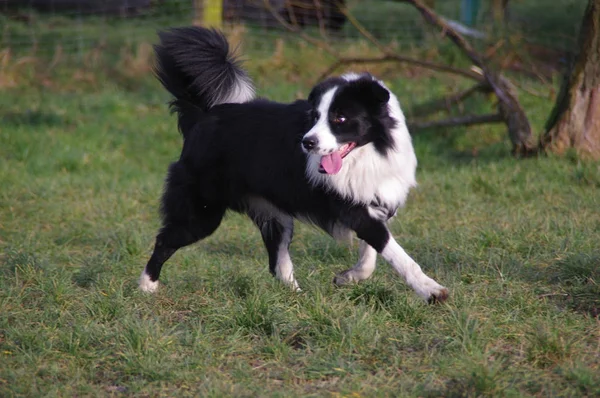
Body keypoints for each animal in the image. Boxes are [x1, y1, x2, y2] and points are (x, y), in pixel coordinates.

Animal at [138, 27, 448, 302]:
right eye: (315, 116)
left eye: (340, 118)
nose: (307, 143)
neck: (370, 151)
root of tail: (202, 117)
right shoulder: (351, 207)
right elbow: (394, 251)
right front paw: (431, 291)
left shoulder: (373, 199)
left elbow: (371, 253)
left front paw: (347, 277)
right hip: (202, 211)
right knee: (165, 240)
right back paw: (146, 287)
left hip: (274, 214)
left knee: (277, 261)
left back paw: (297, 297)